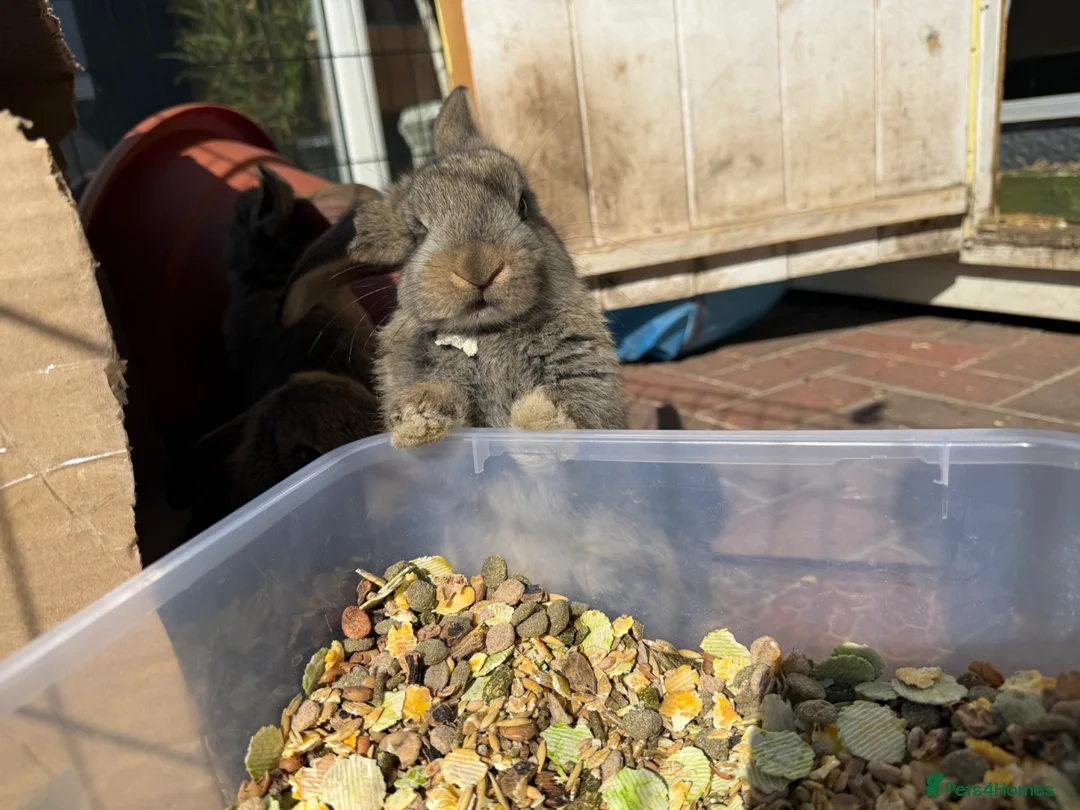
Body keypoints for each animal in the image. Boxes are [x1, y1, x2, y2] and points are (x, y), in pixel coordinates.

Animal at [280, 87, 628, 449]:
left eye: (522, 206)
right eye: (417, 231)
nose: (479, 268)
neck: (485, 332)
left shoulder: (586, 379)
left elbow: (577, 411)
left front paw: (541, 416)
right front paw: (416, 415)